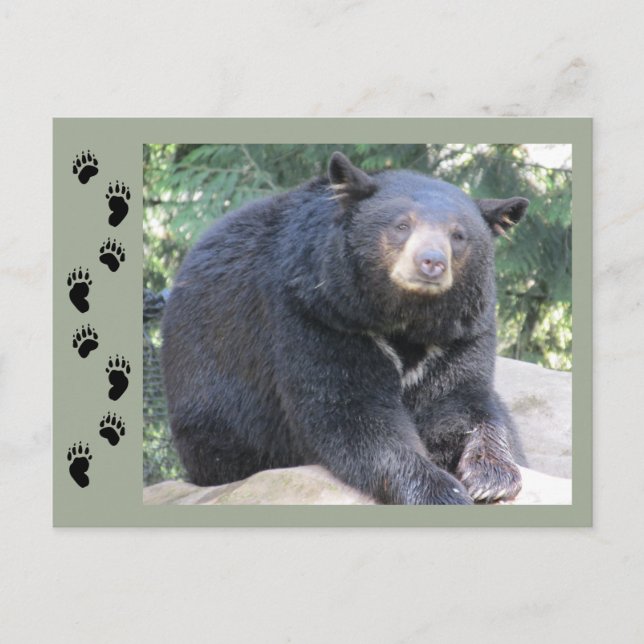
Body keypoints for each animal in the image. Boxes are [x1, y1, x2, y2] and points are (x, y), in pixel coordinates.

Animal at [161, 151, 529, 505]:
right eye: (402, 225)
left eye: (458, 235)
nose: (432, 262)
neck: (406, 318)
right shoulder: (319, 314)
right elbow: (350, 411)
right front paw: (441, 491)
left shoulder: (460, 333)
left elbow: (460, 401)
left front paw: (492, 477)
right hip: (215, 408)